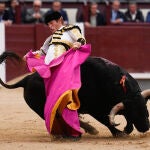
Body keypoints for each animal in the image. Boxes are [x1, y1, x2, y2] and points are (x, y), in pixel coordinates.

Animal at [0, 51, 150, 137]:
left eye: (146, 111)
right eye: (135, 113)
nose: (145, 127)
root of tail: (26, 79)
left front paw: (127, 129)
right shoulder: (95, 108)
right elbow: (106, 121)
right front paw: (119, 133)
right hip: (41, 108)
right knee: (56, 117)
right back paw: (82, 131)